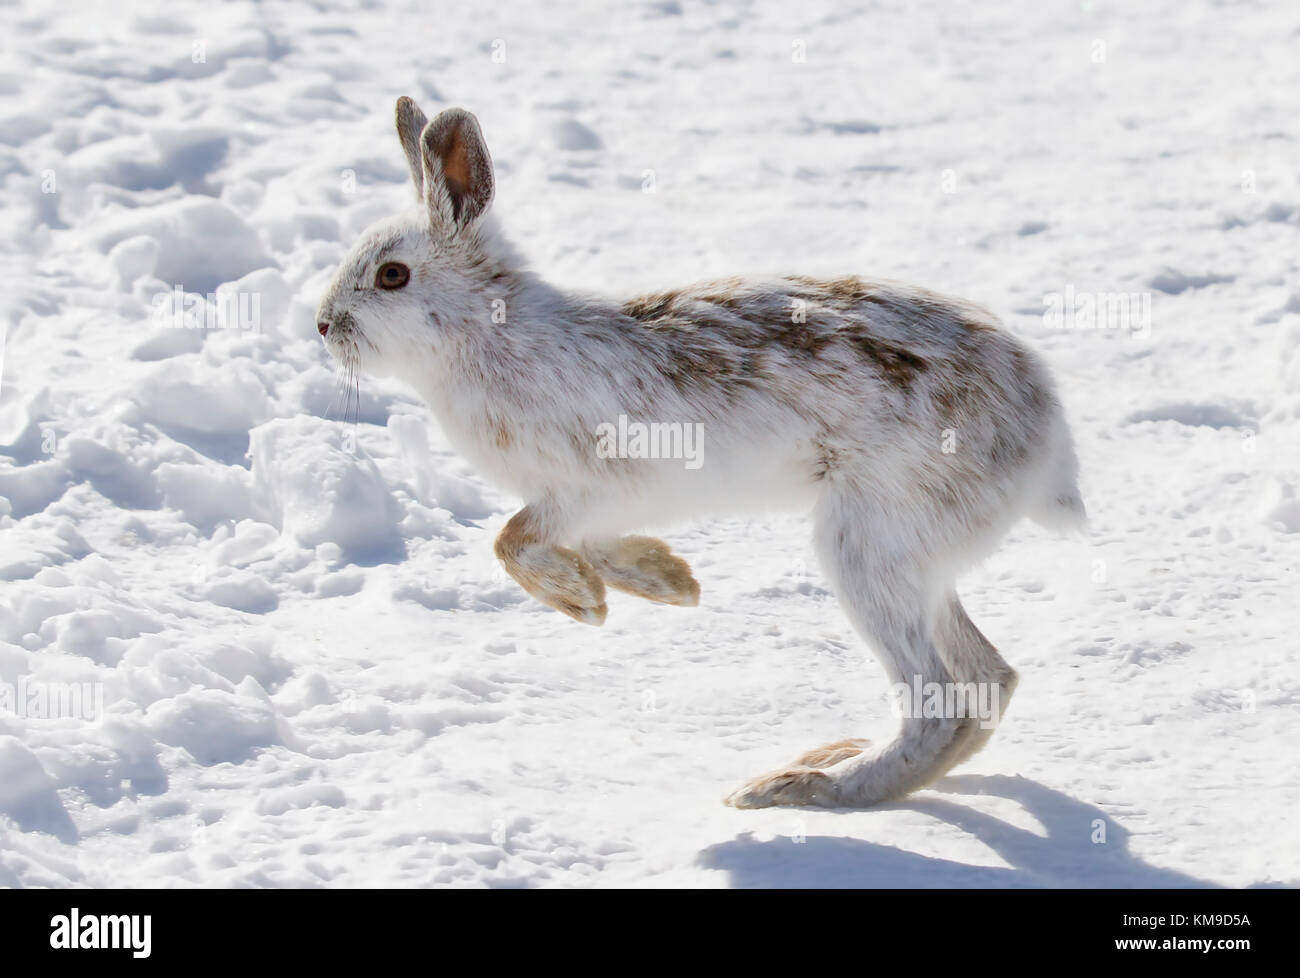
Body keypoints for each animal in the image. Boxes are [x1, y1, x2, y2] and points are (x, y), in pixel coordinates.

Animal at [315, 97, 1086, 809]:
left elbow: (510, 541)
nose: (322, 325)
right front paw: (667, 582)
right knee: (989, 680)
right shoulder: (596, 509)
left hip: (872, 542)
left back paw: (810, 788)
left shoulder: (582, 487)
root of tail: (1044, 442)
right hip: (920, 559)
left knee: (942, 702)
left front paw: (582, 604)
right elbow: (588, 547)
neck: (486, 331)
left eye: (392, 275)